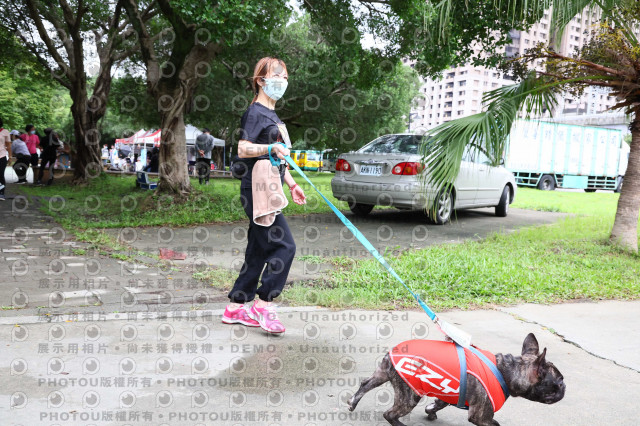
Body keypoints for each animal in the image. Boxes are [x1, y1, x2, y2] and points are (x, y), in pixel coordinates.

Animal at [348, 333, 565, 425]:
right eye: (559, 381)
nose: (565, 387)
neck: (508, 371)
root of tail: (395, 350)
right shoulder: (481, 416)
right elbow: (494, 423)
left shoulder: (448, 393)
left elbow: (437, 404)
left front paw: (431, 412)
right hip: (410, 395)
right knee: (390, 414)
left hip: (383, 373)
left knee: (365, 384)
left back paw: (352, 402)